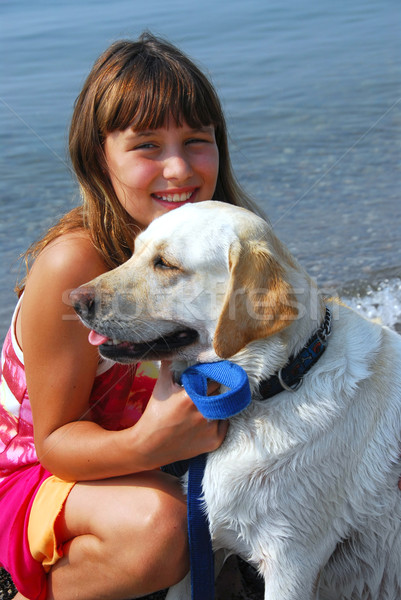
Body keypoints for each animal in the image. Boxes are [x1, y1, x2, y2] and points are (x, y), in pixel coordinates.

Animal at [70, 202, 398, 600]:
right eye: (134, 252)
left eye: (165, 264)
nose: (73, 301)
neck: (272, 386)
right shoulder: (201, 543)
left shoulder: (291, 564)